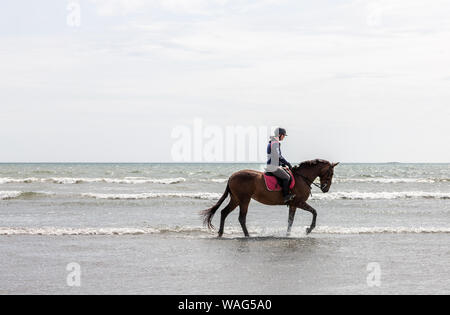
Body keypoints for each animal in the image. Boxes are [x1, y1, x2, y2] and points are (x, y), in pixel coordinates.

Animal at [200, 160, 338, 237]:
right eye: (331, 173)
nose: (326, 189)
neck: (302, 177)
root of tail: (231, 176)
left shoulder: (293, 204)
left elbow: (290, 220)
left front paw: (288, 234)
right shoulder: (298, 202)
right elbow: (314, 212)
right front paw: (308, 230)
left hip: (236, 199)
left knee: (224, 212)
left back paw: (221, 233)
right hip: (244, 200)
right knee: (241, 218)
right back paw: (247, 235)